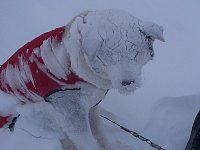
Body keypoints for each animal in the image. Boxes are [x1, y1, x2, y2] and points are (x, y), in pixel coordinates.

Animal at [0, 9, 164, 150]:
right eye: (109, 59)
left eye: (135, 54)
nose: (128, 82)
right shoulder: (73, 114)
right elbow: (87, 142)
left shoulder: (92, 106)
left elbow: (100, 132)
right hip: (36, 111)